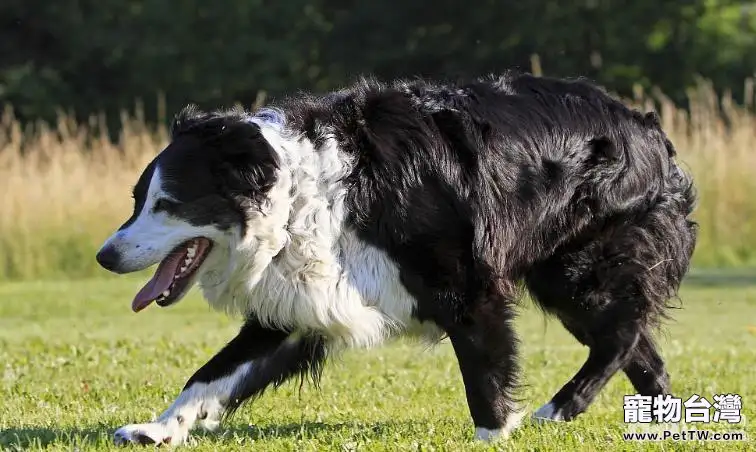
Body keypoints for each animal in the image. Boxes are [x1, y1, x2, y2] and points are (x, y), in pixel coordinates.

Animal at [94, 72, 696, 446]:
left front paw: (495, 435)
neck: (305, 197)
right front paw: (156, 429)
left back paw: (562, 406)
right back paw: (664, 420)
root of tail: (649, 128)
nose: (105, 255)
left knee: (620, 332)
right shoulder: (301, 301)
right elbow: (214, 373)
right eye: (137, 200)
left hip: (578, 262)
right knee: (635, 343)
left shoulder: (468, 283)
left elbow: (484, 368)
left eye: (168, 204)